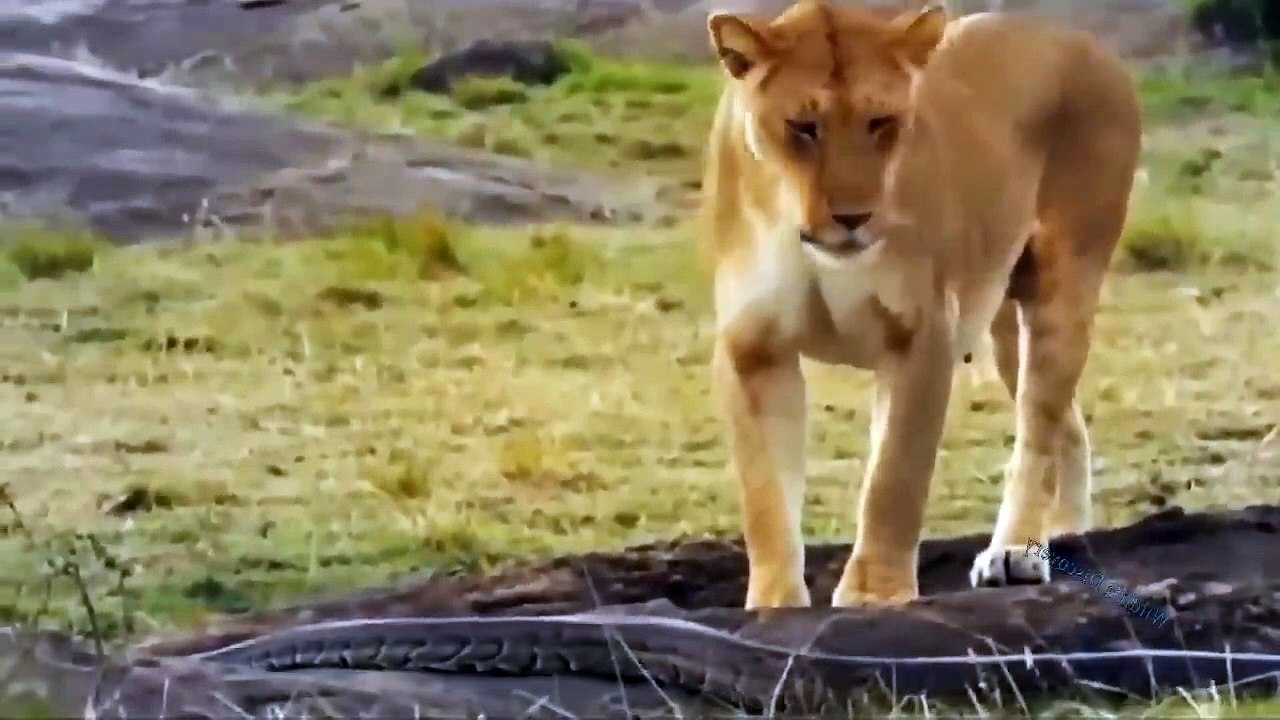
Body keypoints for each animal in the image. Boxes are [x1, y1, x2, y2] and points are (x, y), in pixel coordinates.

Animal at [699, 1, 1142, 608]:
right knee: (1062, 424)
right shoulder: (752, 348)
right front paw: (775, 606)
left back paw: (1016, 552)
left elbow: (895, 477)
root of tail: (1082, 41)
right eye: (803, 127)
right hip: (1002, 323)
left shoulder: (922, 334)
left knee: (1038, 424)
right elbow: (765, 495)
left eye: (881, 122)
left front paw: (875, 595)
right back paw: (1067, 531)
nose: (853, 218)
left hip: (1064, 283)